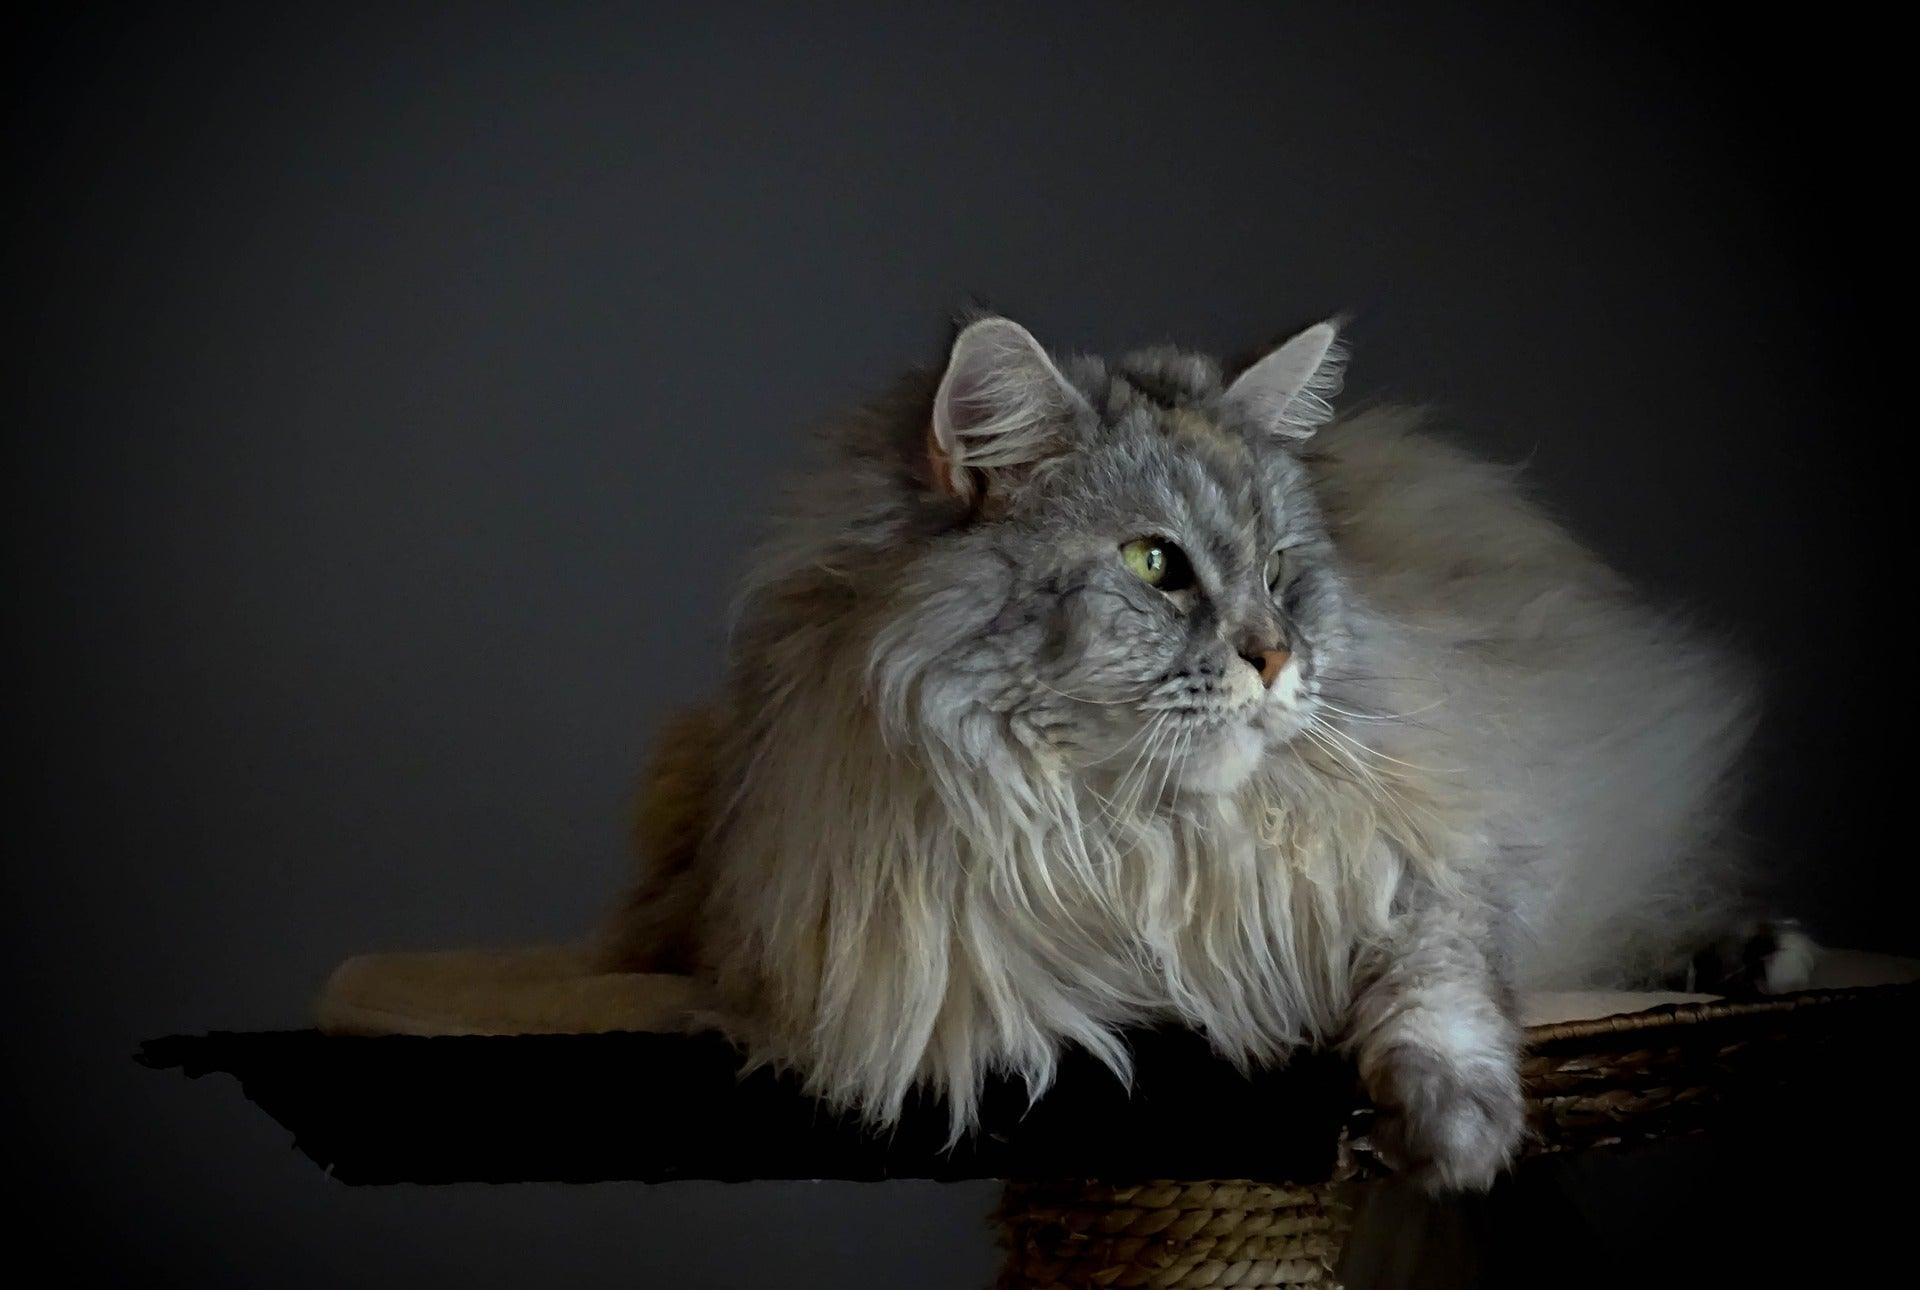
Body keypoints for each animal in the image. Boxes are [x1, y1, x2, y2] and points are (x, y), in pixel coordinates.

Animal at [595, 320, 1797, 1190]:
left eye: (1278, 571)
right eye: (1154, 564)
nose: (1276, 656)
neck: (1143, 840)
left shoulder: (1434, 867)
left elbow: (1440, 994)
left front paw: (1452, 1140)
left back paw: (1758, 956)